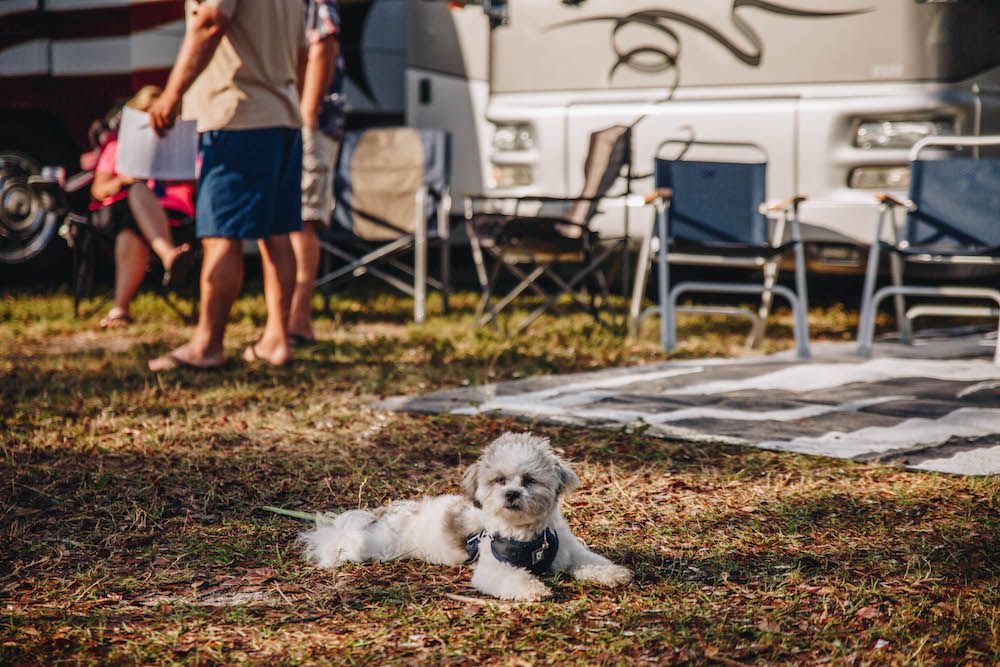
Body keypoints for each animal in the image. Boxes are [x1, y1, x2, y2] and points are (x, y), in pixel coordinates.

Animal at [296, 430, 636, 604]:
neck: (529, 536)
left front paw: (613, 574)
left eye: (528, 480)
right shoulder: (492, 568)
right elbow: (512, 578)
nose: (511, 494)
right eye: (500, 480)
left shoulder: (569, 551)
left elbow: (593, 562)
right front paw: (533, 589)